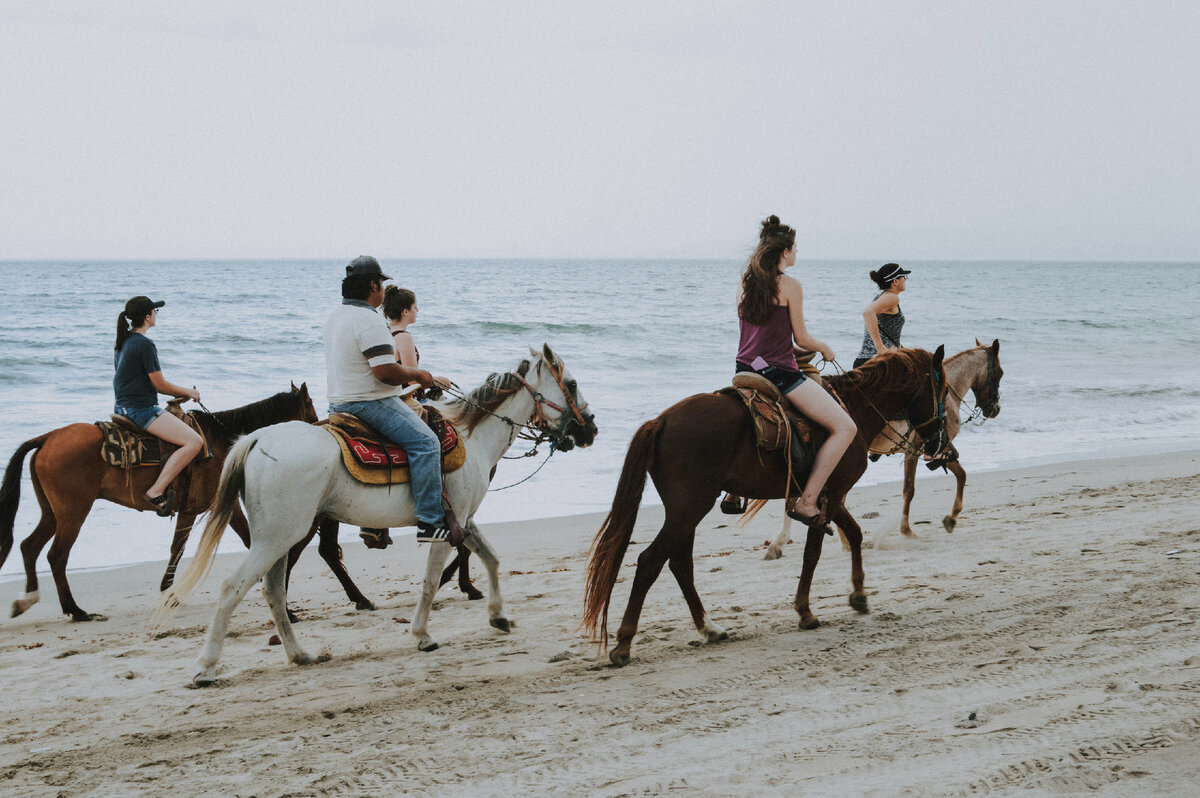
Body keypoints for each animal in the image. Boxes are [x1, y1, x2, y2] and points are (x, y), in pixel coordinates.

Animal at [0, 386, 374, 624]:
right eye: (309, 409)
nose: (326, 432)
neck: (224, 440)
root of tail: (48, 438)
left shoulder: (210, 509)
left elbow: (189, 547)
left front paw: (170, 592)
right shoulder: (205, 508)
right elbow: (198, 546)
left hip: (53, 512)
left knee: (30, 546)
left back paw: (28, 599)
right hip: (73, 512)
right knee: (55, 555)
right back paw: (75, 610)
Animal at [154, 343, 595, 686]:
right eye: (571, 384)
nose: (589, 429)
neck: (471, 437)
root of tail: (257, 438)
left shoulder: (463, 521)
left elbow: (491, 557)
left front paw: (499, 616)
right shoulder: (444, 526)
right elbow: (431, 582)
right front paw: (421, 634)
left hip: (278, 537)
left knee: (273, 591)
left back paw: (299, 654)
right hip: (280, 536)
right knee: (235, 587)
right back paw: (206, 668)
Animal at [585, 345, 950, 662]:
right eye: (942, 390)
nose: (939, 442)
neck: (855, 411)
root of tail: (661, 421)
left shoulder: (827, 495)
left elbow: (855, 534)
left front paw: (858, 594)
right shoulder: (831, 494)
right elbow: (813, 552)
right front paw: (805, 611)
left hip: (685, 511)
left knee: (680, 564)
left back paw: (709, 628)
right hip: (689, 508)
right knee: (651, 561)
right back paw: (624, 643)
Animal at [758, 338, 1003, 556]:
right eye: (1000, 373)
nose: (996, 409)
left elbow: (950, 477)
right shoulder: (923, 451)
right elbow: (921, 486)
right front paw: (929, 524)